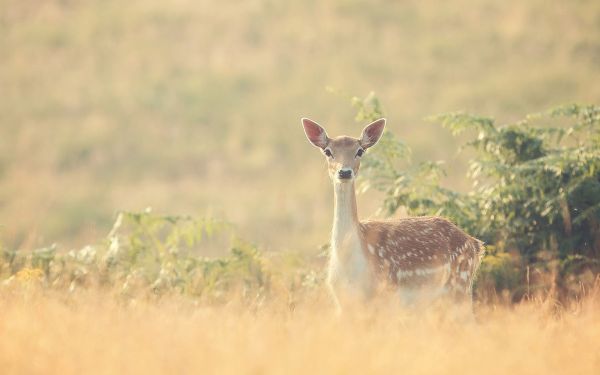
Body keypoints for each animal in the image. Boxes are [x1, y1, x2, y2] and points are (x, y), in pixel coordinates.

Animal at [302, 119, 486, 312]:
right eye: (328, 151)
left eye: (360, 151)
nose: (344, 172)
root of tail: (476, 244)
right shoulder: (342, 302)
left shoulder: (387, 294)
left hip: (460, 287)